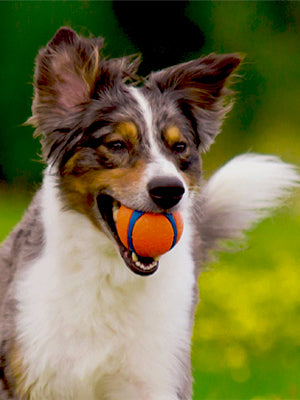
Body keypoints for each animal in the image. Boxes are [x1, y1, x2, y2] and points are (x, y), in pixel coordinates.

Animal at [0, 28, 298, 400]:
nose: (169, 191)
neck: (110, 275)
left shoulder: (155, 375)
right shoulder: (34, 371)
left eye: (179, 147)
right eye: (116, 145)